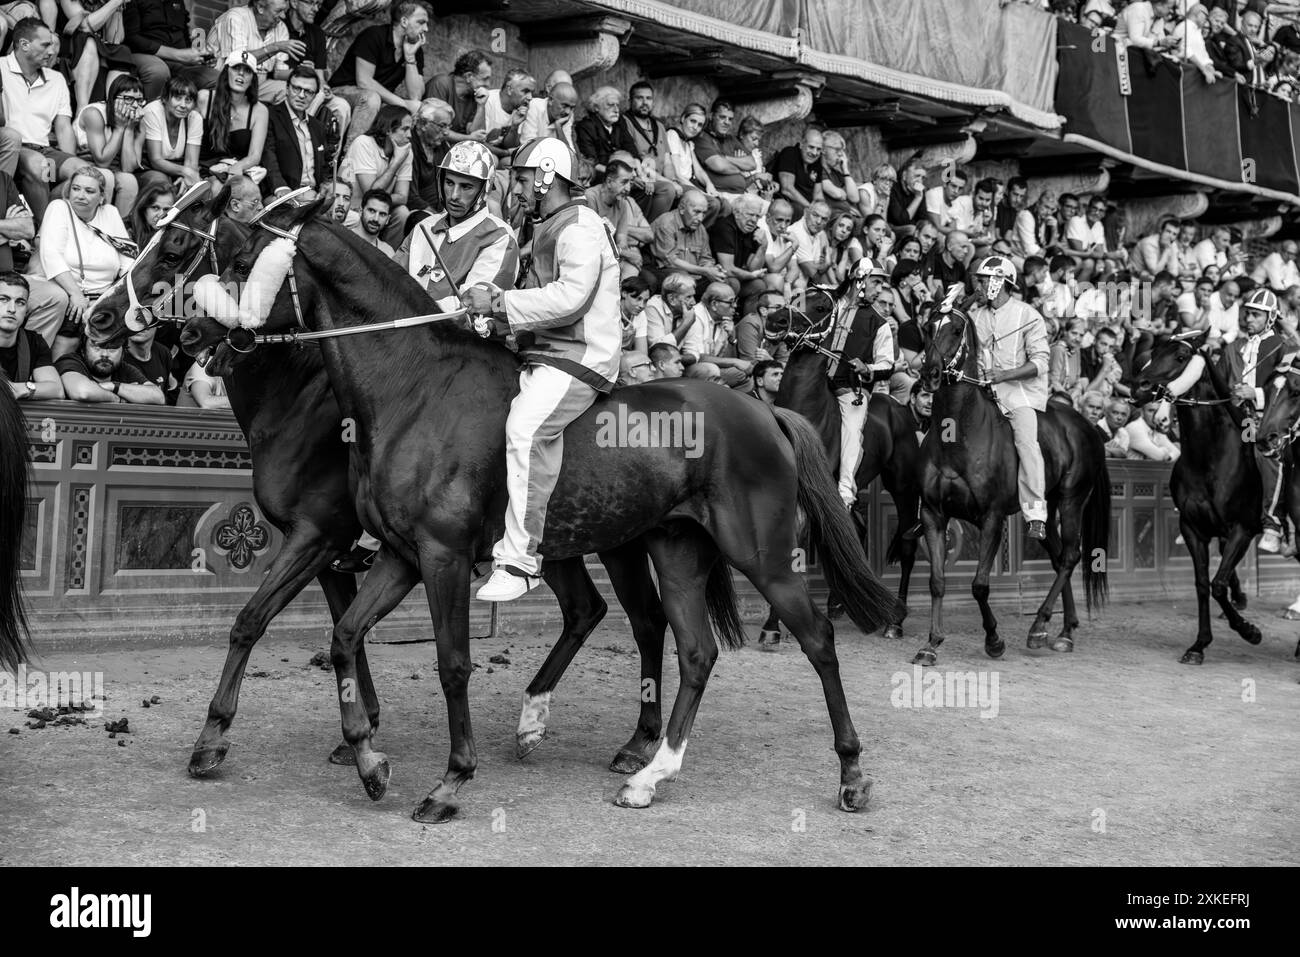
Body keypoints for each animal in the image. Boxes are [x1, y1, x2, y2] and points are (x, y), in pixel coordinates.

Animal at [85, 187, 670, 780]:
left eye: (176, 252)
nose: (100, 315)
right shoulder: (338, 553)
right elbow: (342, 630)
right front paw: (358, 731)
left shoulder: (319, 536)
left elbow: (256, 621)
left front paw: (221, 736)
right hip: (564, 546)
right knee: (586, 610)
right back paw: (536, 722)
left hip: (621, 545)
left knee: (645, 622)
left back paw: (639, 741)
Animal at [183, 200, 904, 821]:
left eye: (242, 261)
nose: (189, 322)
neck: (411, 389)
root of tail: (763, 409)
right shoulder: (396, 555)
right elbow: (340, 637)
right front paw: (366, 757)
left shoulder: (422, 554)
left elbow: (450, 663)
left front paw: (450, 779)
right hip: (670, 549)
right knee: (691, 648)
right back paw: (648, 770)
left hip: (759, 554)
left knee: (816, 639)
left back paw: (851, 772)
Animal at [769, 287, 925, 639]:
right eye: (795, 295)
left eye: (821, 306)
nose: (774, 319)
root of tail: (899, 410)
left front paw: (774, 625)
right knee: (856, 529)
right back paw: (841, 601)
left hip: (904, 488)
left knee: (907, 543)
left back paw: (895, 621)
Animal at [915, 291, 1107, 665]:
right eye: (928, 326)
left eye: (956, 329)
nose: (930, 373)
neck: (958, 436)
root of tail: (1085, 425)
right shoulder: (933, 514)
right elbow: (937, 581)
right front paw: (930, 644)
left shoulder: (992, 518)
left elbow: (979, 585)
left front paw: (994, 640)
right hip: (1044, 510)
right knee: (1058, 554)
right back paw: (1063, 629)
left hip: (1072, 500)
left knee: (1070, 556)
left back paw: (1042, 626)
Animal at [1133, 338, 1274, 665]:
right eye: (1153, 352)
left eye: (1181, 356)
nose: (1139, 386)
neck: (1210, 458)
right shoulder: (1193, 529)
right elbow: (1202, 585)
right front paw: (1199, 644)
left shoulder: (1243, 529)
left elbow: (1217, 585)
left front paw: (1250, 631)